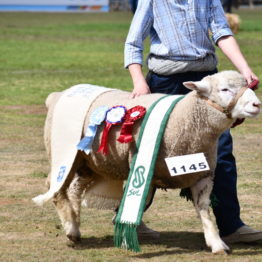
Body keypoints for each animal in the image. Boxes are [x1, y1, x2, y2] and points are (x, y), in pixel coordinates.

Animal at [34, 69, 260, 254]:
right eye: (224, 89)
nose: (257, 104)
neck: (184, 120)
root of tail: (57, 95)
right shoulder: (142, 167)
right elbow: (138, 203)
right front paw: (126, 235)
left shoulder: (203, 174)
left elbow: (204, 209)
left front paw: (216, 243)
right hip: (65, 154)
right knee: (56, 189)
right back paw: (71, 228)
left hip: (92, 162)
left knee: (74, 189)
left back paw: (73, 226)